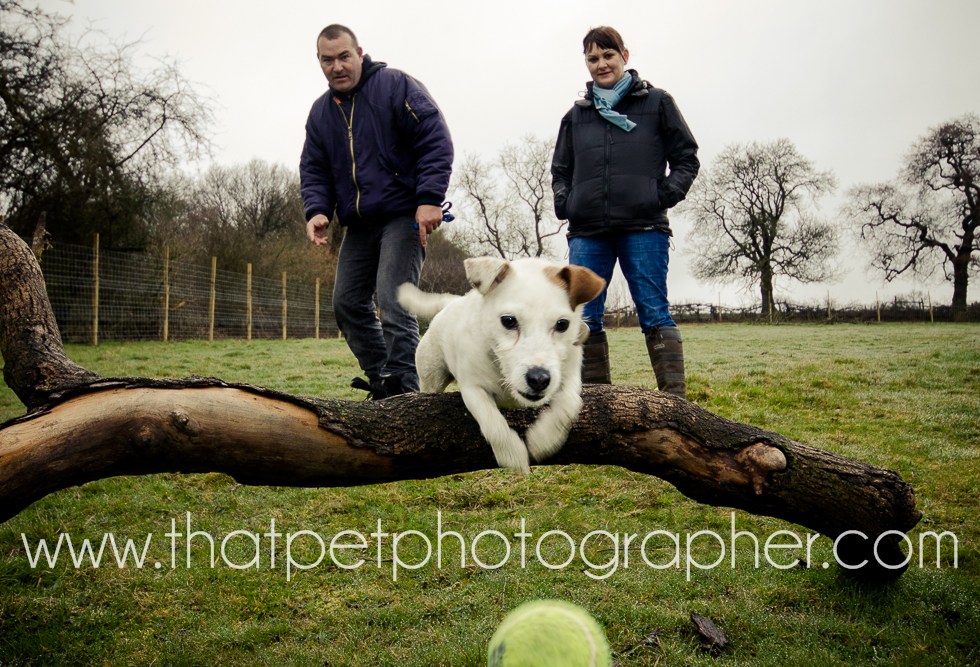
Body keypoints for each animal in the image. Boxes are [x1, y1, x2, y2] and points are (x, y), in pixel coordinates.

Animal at [397, 257, 605, 473]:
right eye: (508, 321)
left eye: (563, 324)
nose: (539, 379)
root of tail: (451, 303)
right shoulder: (473, 388)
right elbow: (492, 422)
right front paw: (511, 453)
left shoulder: (569, 375)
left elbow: (569, 404)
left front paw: (544, 439)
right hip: (432, 377)